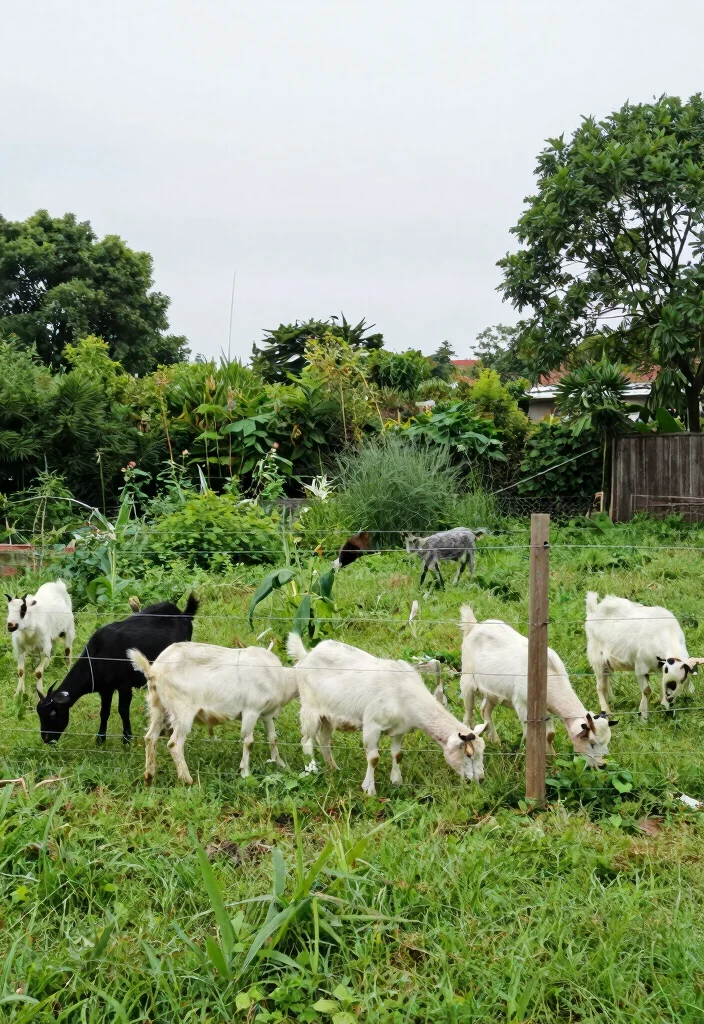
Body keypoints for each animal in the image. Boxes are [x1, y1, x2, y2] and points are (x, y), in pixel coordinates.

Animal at [35, 596, 198, 745]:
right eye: (40, 715)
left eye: (53, 713)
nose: (46, 739)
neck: (98, 656)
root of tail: (183, 614)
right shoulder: (105, 689)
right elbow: (104, 712)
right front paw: (100, 739)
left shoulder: (124, 685)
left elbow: (123, 710)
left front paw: (127, 739)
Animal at [128, 643, 298, 785]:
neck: (281, 678)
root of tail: (153, 671)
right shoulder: (251, 710)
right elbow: (249, 742)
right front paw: (245, 772)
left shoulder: (266, 714)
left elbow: (273, 738)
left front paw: (280, 765)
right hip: (182, 710)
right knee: (174, 744)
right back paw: (188, 780)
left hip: (159, 707)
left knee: (150, 737)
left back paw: (149, 776)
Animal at [287, 632, 486, 794]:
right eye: (468, 754)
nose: (481, 779)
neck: (404, 693)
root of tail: (306, 655)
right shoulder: (372, 726)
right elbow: (373, 758)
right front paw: (369, 789)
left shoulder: (399, 729)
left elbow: (397, 754)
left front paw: (397, 781)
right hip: (309, 709)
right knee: (306, 741)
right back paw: (312, 770)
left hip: (328, 716)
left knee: (324, 740)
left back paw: (334, 768)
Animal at [459, 605, 613, 766]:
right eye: (592, 743)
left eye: (606, 742)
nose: (602, 765)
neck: (549, 672)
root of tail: (474, 625)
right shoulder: (521, 704)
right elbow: (529, 732)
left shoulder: (546, 707)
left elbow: (550, 734)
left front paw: (552, 757)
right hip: (467, 680)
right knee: (468, 715)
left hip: (493, 692)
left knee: (485, 710)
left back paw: (496, 741)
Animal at [585, 591, 702, 719]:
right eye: (668, 683)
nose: (669, 702)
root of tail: (593, 609)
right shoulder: (641, 667)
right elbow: (647, 690)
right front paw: (643, 716)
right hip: (596, 659)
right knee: (600, 687)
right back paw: (606, 711)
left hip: (607, 663)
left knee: (607, 681)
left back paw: (613, 700)